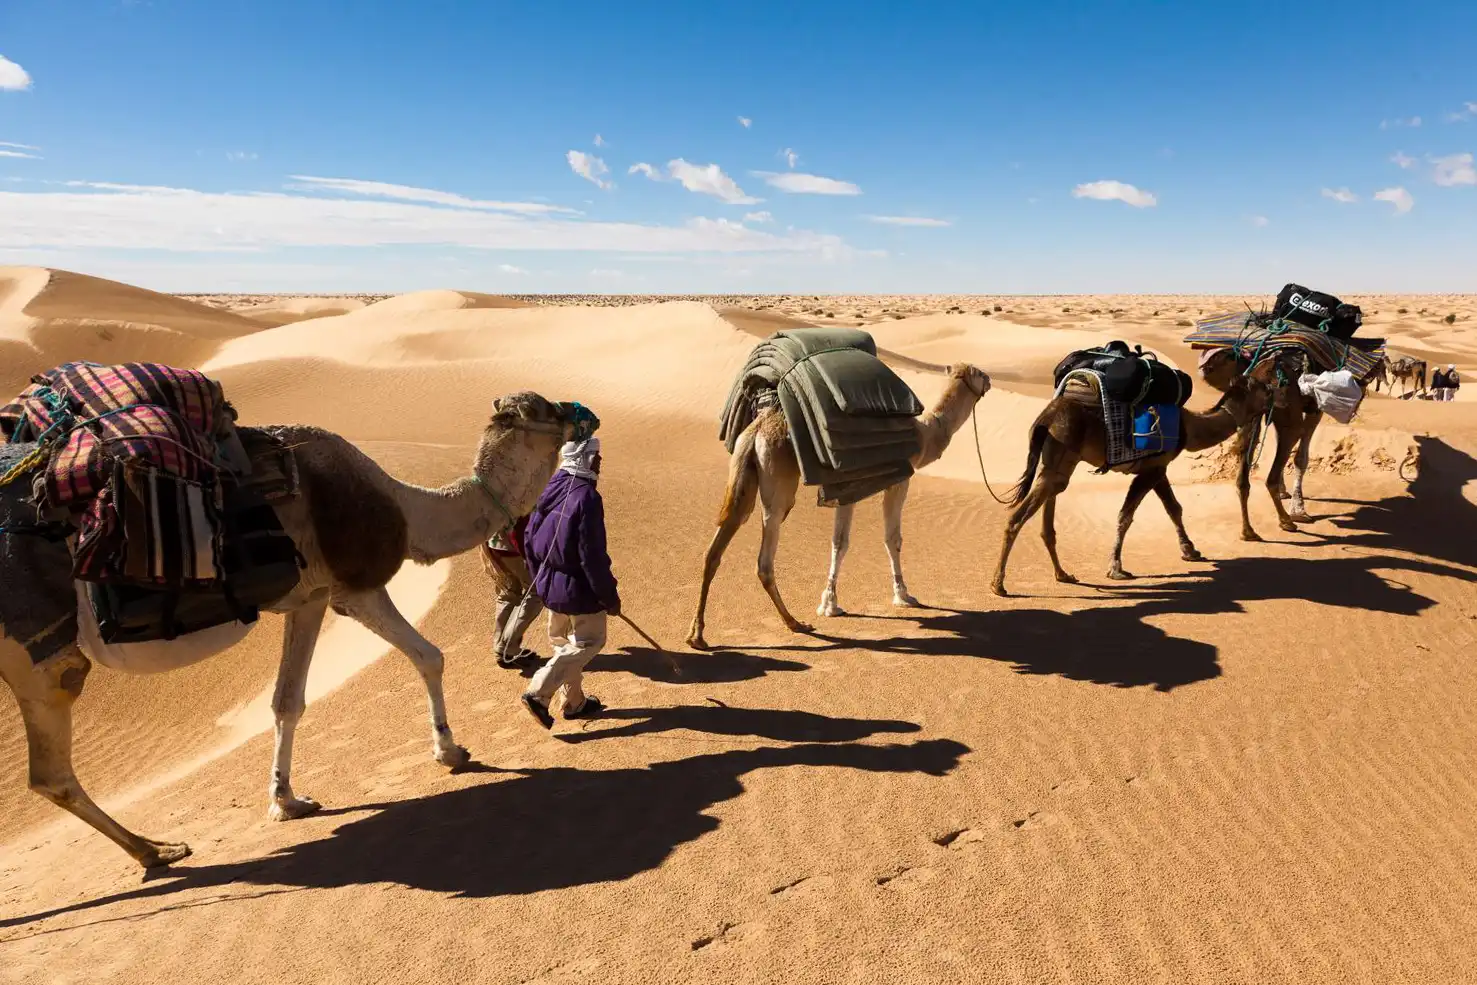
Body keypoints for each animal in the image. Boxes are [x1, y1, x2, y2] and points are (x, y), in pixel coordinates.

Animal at [1, 392, 581, 868]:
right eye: (545, 408)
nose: (581, 414)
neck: (405, 509)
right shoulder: (353, 589)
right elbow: (429, 655)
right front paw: (451, 753)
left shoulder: (311, 598)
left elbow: (287, 701)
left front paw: (286, 801)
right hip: (33, 647)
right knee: (51, 766)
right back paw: (158, 851)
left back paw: (153, 850)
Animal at [688, 366, 992, 649]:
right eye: (979, 373)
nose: (990, 380)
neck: (924, 435)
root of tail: (756, 432)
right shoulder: (897, 482)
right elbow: (888, 539)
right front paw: (903, 596)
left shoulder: (848, 491)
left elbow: (839, 542)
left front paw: (830, 603)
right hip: (779, 486)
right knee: (764, 557)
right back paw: (795, 623)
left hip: (743, 474)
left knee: (716, 547)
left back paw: (698, 635)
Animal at [992, 355, 1293, 596]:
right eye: (1264, 387)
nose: (1280, 396)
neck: (1190, 427)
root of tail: (1046, 417)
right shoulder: (1153, 468)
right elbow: (1127, 515)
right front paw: (1116, 568)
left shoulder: (1158, 468)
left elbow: (1174, 508)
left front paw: (1190, 550)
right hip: (1061, 454)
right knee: (1017, 517)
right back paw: (999, 584)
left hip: (1058, 461)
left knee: (1049, 507)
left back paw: (1063, 574)